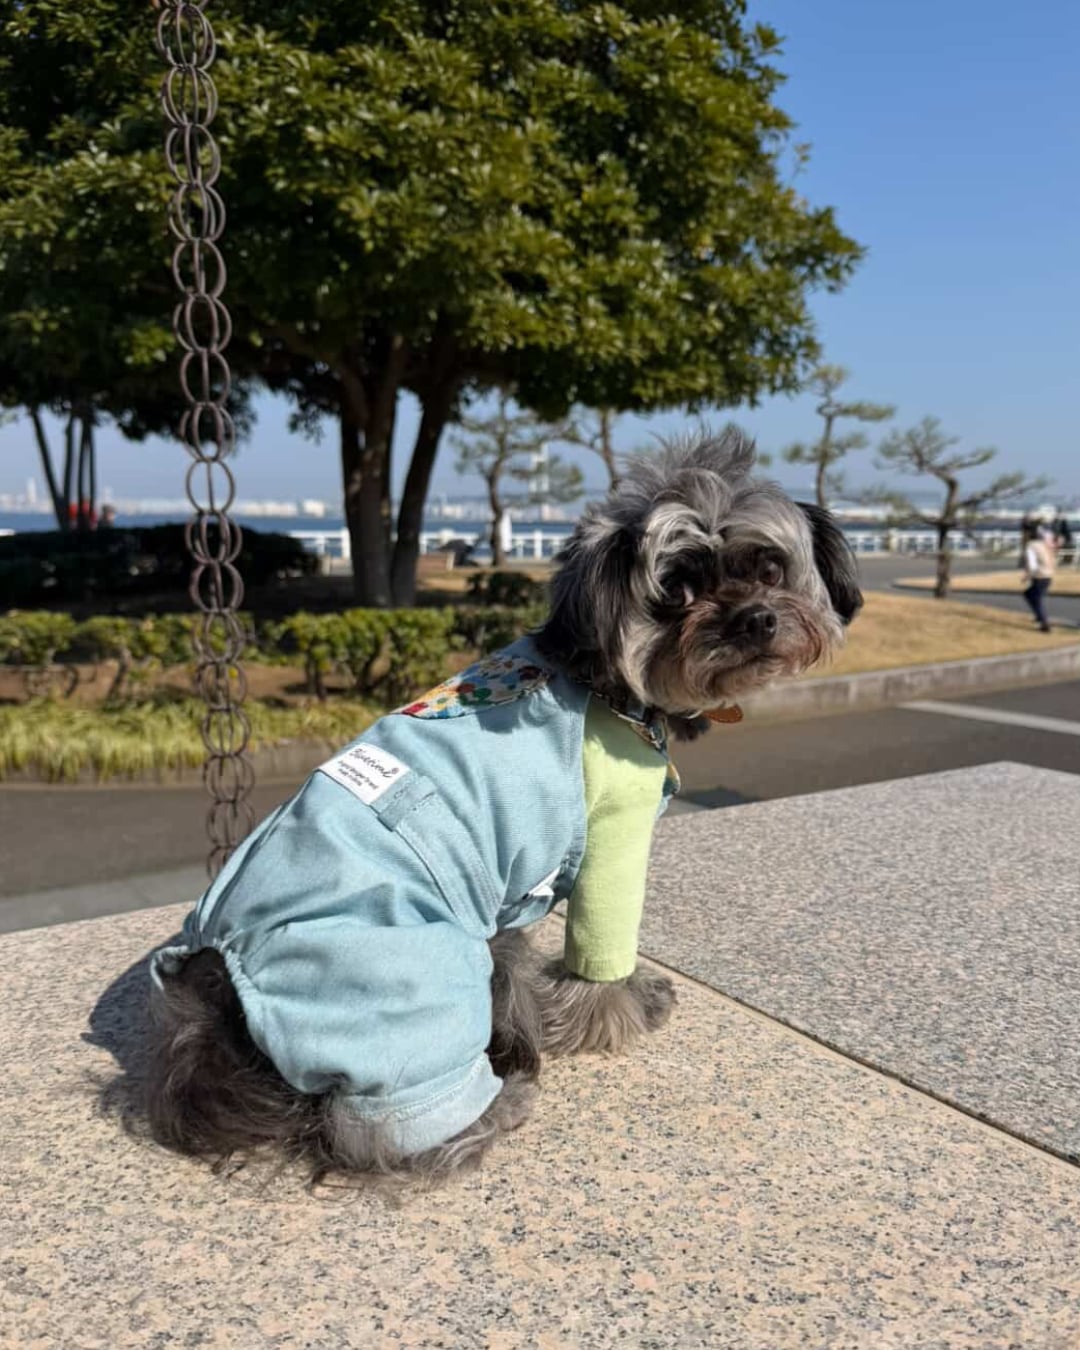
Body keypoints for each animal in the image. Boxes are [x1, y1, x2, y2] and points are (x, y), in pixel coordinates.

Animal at [143, 428, 861, 1188]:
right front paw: (622, 1007)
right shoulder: (614, 836)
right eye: (677, 588)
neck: (605, 680)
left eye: (770, 568)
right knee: (385, 1131)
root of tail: (220, 984)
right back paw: (498, 1103)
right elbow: (602, 949)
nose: (757, 618)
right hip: (409, 994)